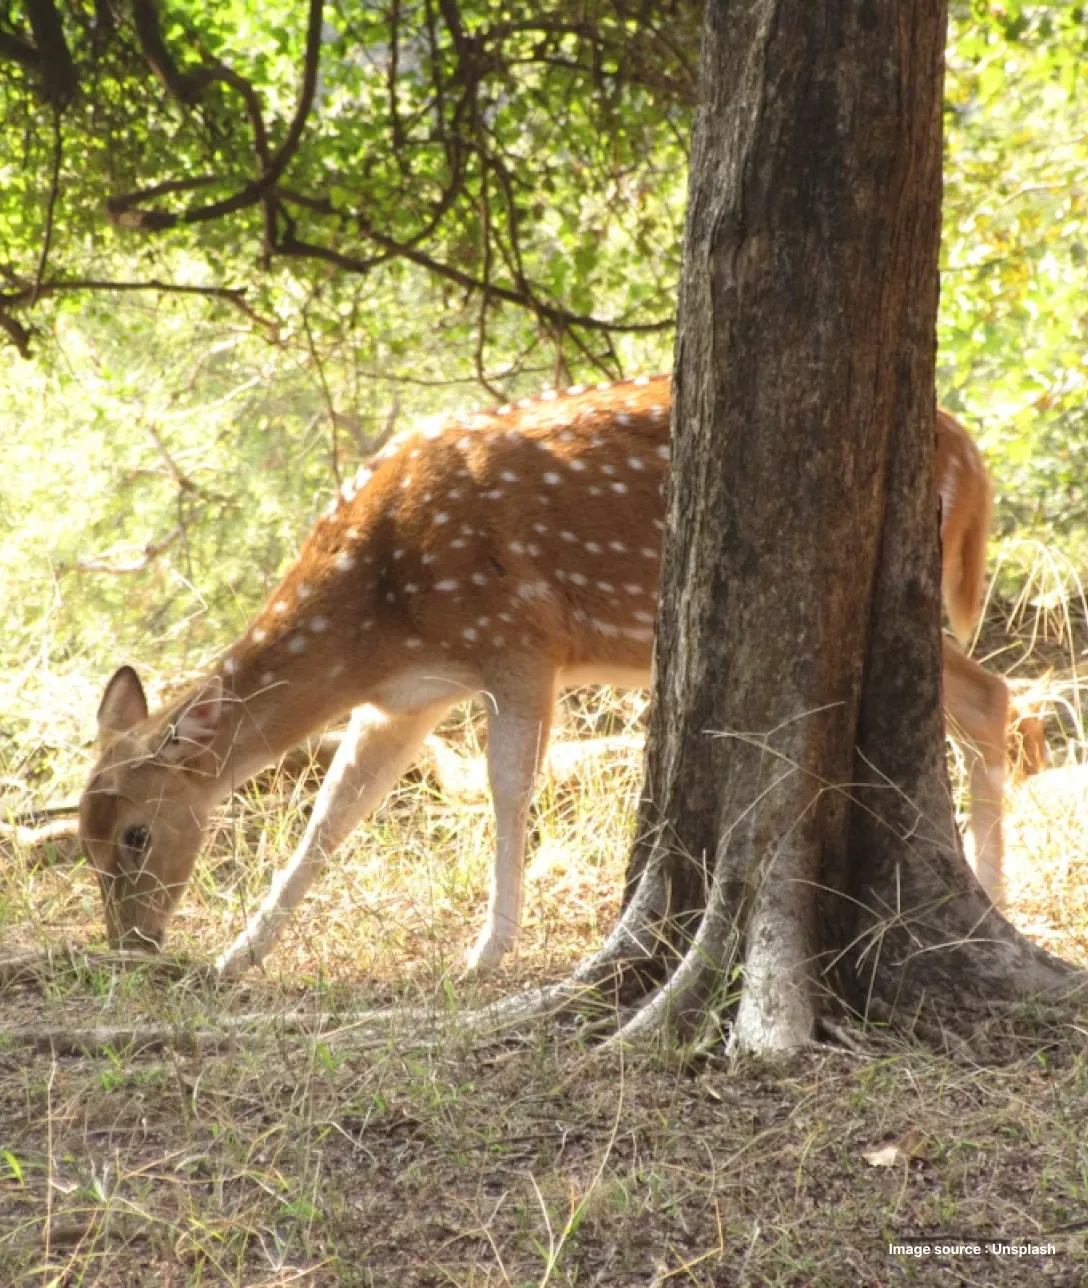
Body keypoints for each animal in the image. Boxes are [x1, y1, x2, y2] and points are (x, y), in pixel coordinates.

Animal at [78, 378, 1019, 975]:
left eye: (135, 834)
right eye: (83, 839)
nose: (129, 943)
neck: (379, 614)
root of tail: (975, 457)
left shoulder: (520, 642)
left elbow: (505, 789)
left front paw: (486, 951)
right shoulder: (405, 698)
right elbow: (331, 817)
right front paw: (239, 954)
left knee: (993, 694)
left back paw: (994, 894)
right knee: (989, 697)